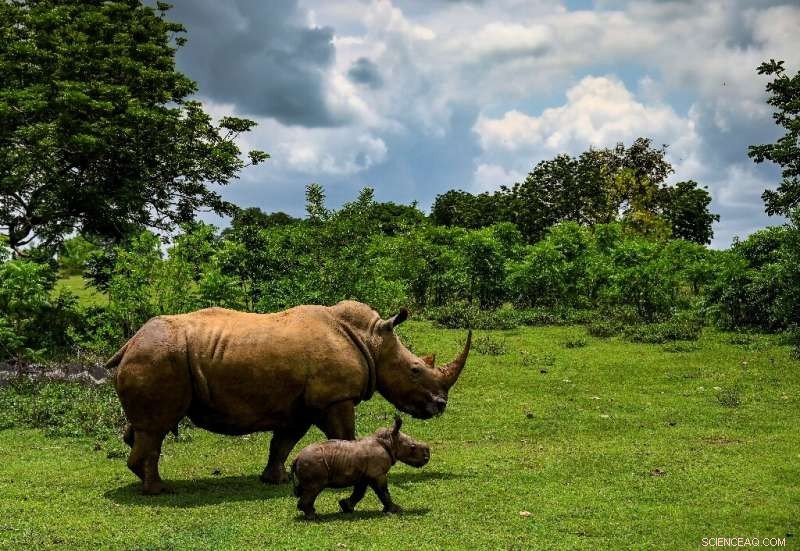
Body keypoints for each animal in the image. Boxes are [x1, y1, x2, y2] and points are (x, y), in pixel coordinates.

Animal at [105, 300, 471, 494]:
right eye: (415, 370)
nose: (441, 405)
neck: (371, 340)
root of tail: (129, 343)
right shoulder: (336, 396)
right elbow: (344, 435)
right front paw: (351, 476)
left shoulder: (299, 405)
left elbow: (282, 443)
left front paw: (275, 480)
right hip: (158, 356)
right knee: (156, 428)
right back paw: (160, 490)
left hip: (154, 356)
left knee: (144, 429)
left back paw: (148, 482)